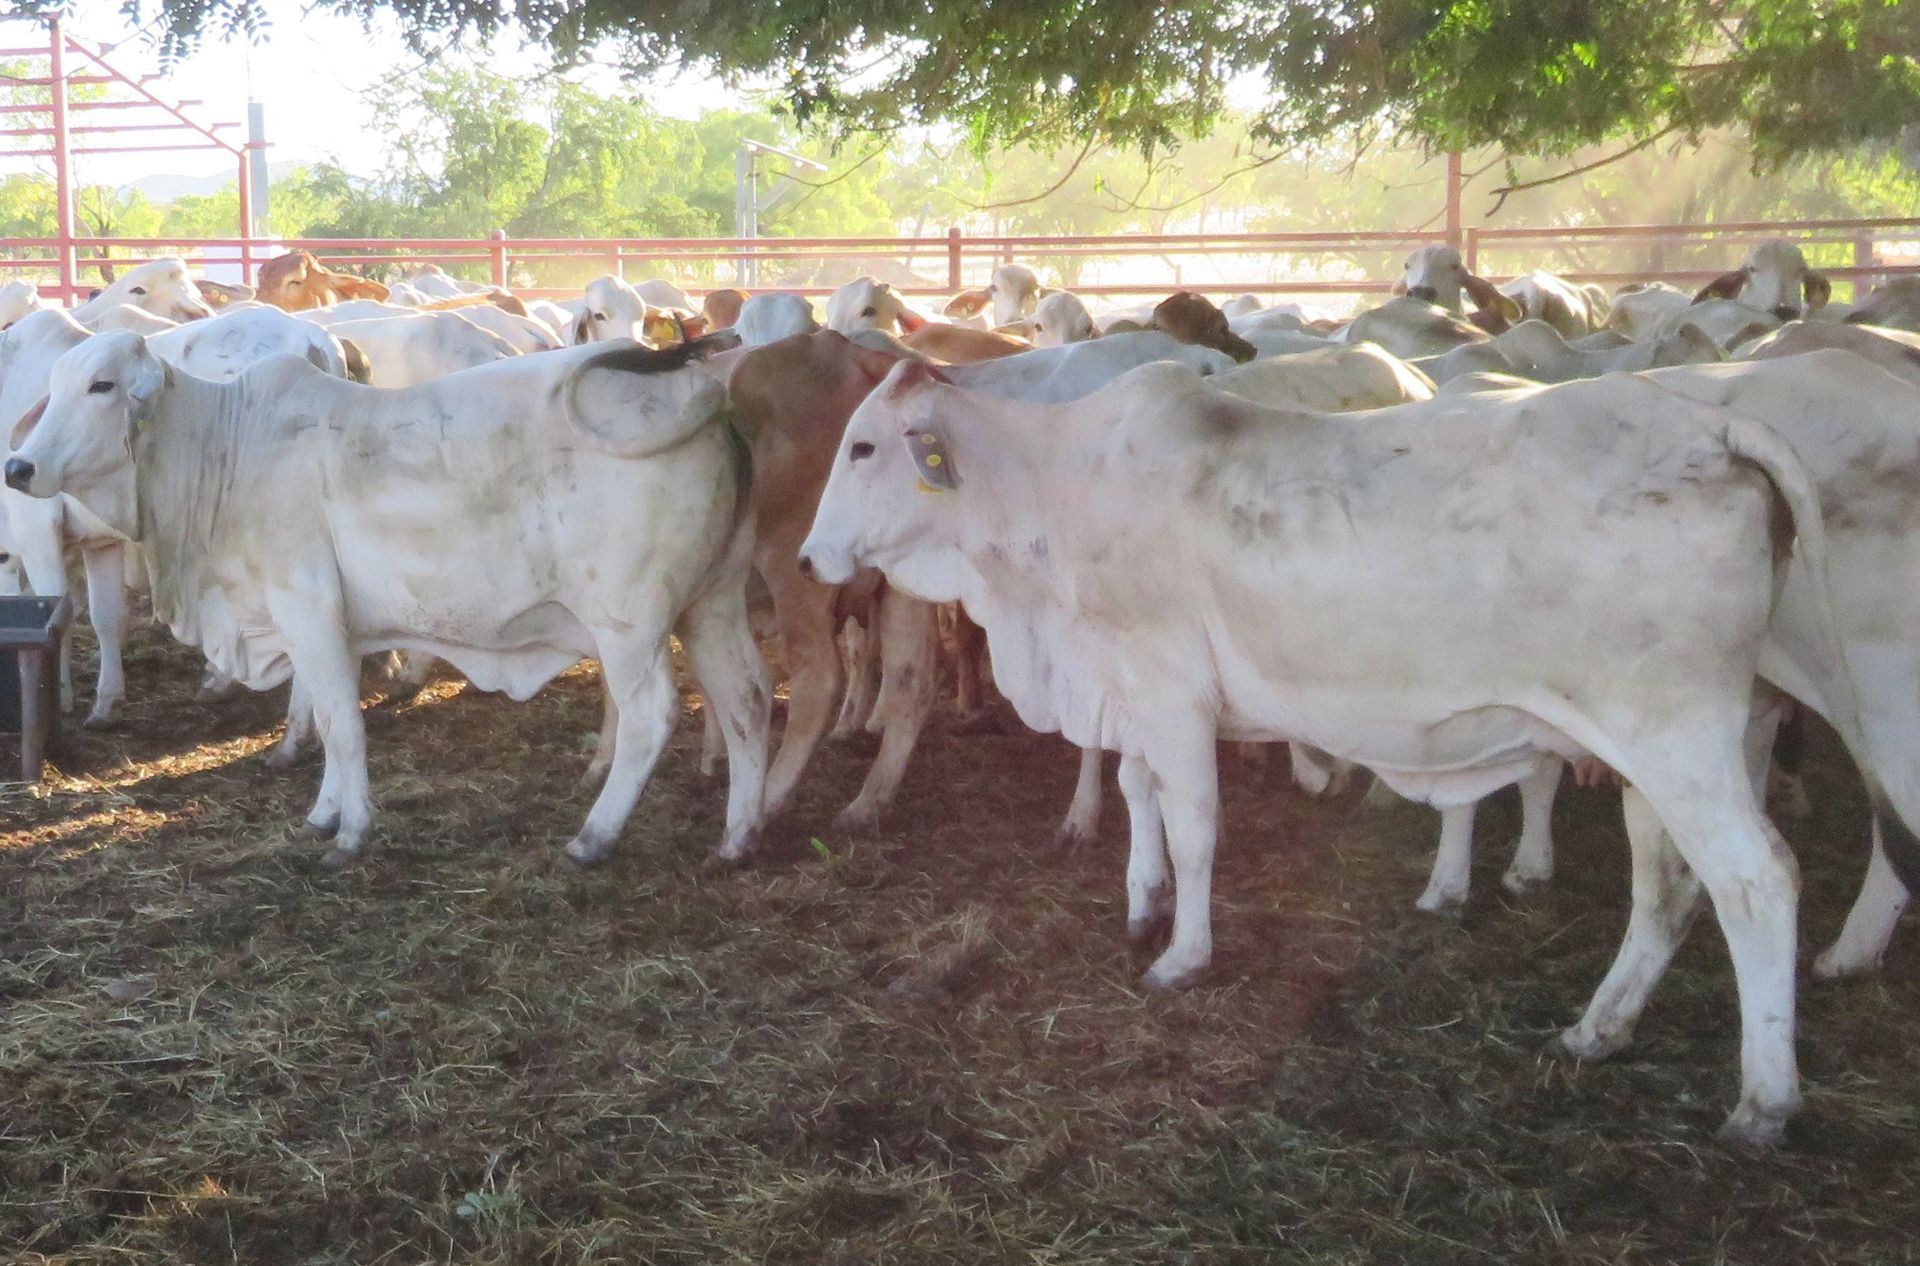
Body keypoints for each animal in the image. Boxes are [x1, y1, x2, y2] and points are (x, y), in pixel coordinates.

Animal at [7, 332, 769, 870]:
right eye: (54, 384)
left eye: (101, 385)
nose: (17, 466)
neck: (226, 448)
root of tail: (707, 398)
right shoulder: (326, 628)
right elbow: (324, 719)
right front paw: (324, 813)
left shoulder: (307, 612)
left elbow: (343, 726)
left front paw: (351, 834)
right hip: (713, 604)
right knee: (748, 702)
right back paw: (738, 839)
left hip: (629, 623)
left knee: (652, 715)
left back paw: (594, 838)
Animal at [797, 351, 1919, 1145]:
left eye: (863, 449)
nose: (809, 560)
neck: (1054, 504)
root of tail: (1716, 421)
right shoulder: (1131, 691)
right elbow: (1138, 793)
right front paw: (1139, 901)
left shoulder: (1169, 688)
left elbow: (1193, 822)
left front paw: (1183, 953)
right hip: (1666, 745)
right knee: (1670, 885)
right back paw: (1599, 1028)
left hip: (1695, 730)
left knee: (1760, 880)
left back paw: (1765, 1098)